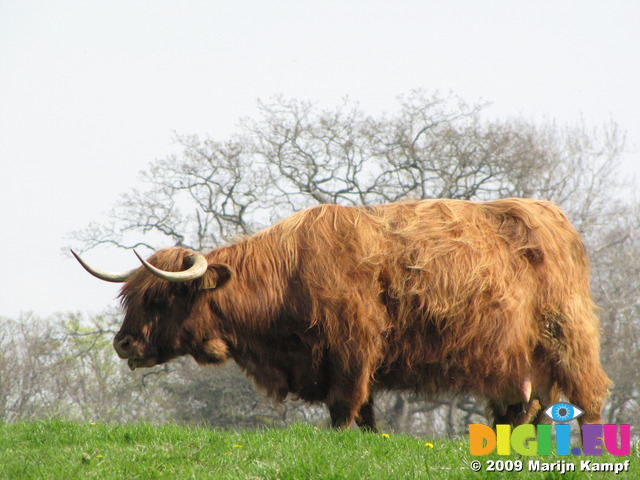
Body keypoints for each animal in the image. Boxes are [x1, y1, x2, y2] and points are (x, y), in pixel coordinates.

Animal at [72, 197, 612, 430]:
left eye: (160, 299)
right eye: (131, 298)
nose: (123, 343)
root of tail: (551, 214)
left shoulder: (353, 350)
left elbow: (342, 409)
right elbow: (367, 415)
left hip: (567, 335)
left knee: (590, 395)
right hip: (519, 361)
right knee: (528, 408)